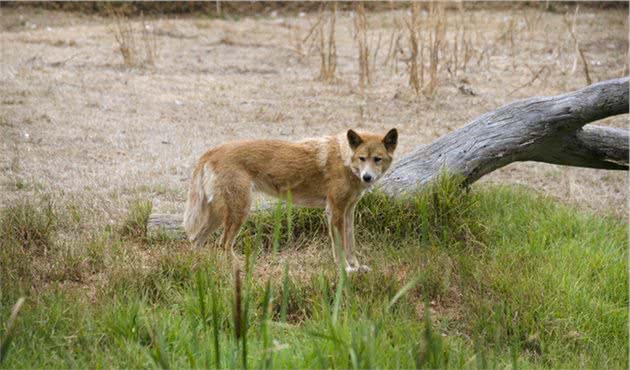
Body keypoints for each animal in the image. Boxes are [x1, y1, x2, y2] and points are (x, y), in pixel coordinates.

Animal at [184, 129, 400, 272]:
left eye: (377, 159)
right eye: (362, 158)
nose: (367, 177)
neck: (344, 159)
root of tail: (212, 151)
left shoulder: (348, 211)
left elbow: (351, 244)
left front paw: (356, 266)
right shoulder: (335, 211)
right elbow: (339, 245)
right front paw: (345, 269)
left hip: (219, 216)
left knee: (196, 240)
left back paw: (198, 268)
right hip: (239, 212)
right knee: (223, 244)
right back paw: (239, 267)